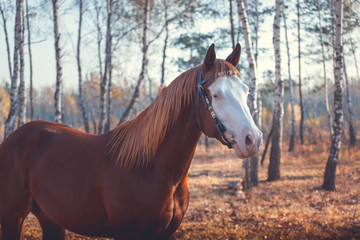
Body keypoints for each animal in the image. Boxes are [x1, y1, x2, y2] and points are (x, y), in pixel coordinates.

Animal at [0, 43, 262, 240]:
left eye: (246, 91)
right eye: (215, 95)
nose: (253, 140)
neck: (151, 168)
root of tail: (13, 138)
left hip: (51, 219)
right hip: (13, 218)